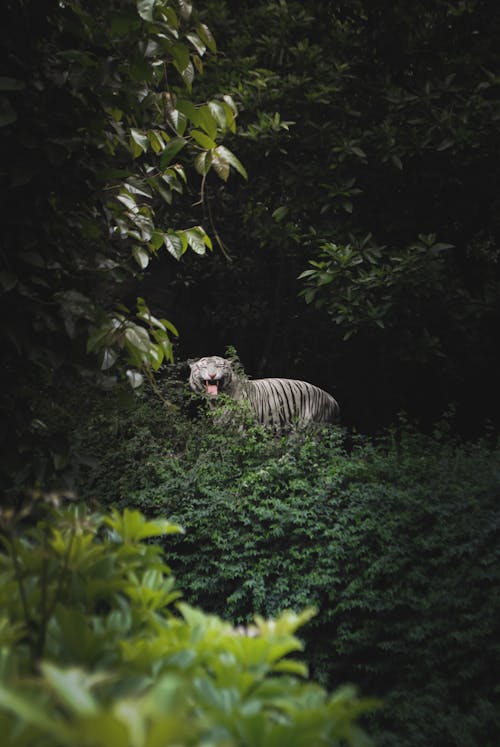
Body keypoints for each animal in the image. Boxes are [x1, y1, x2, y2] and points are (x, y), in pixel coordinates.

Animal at [188, 360, 340, 430]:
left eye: (219, 366)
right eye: (203, 367)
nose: (212, 375)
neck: (216, 401)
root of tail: (333, 400)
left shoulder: (240, 426)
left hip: (309, 427)